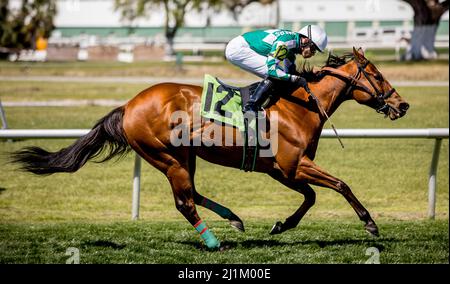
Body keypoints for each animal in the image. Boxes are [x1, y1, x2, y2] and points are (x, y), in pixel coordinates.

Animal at [13, 47, 408, 250]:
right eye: (376, 75)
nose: (402, 105)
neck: (299, 105)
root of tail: (128, 105)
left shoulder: (282, 170)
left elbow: (310, 197)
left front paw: (281, 225)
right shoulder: (295, 166)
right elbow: (341, 184)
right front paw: (370, 224)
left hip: (184, 156)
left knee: (194, 193)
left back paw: (233, 218)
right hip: (165, 156)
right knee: (185, 201)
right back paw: (214, 241)